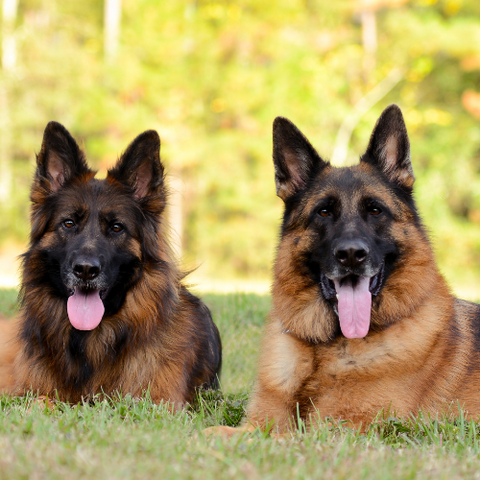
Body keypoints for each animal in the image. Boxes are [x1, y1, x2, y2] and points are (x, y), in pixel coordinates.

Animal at [209, 106, 480, 438]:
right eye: (323, 212)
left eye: (375, 210)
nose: (351, 254)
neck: (323, 350)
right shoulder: (259, 421)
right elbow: (218, 430)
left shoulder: (337, 430)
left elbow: (269, 437)